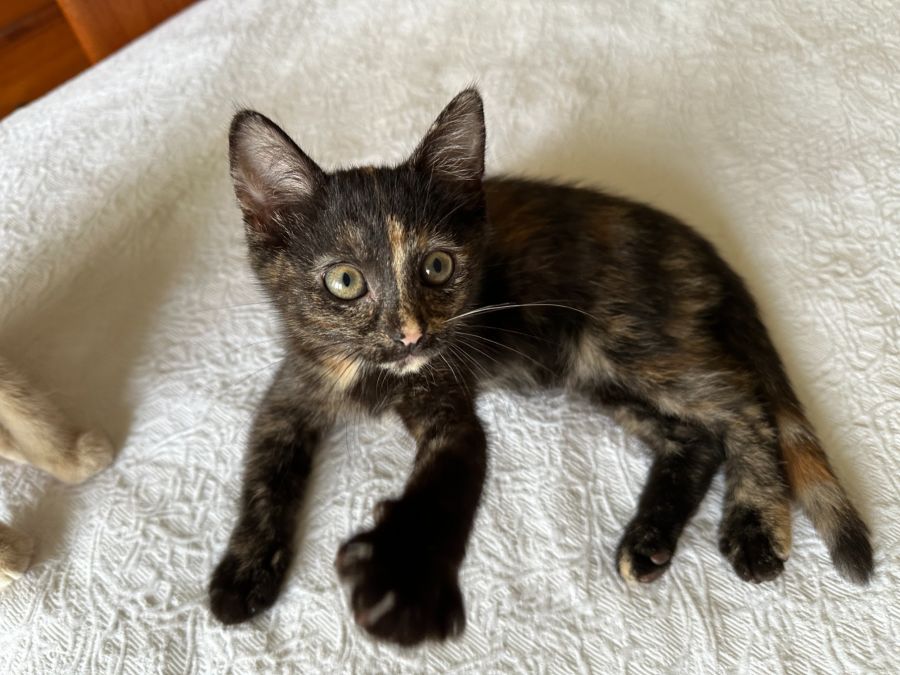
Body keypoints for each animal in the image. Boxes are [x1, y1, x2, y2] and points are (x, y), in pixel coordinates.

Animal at [209, 88, 873, 645]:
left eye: (438, 268)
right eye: (344, 281)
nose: (411, 333)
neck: (372, 375)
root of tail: (695, 243)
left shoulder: (449, 396)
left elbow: (447, 482)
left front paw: (405, 580)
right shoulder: (292, 390)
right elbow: (264, 474)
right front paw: (243, 571)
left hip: (633, 342)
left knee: (740, 400)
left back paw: (755, 522)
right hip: (593, 372)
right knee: (695, 434)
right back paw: (648, 539)